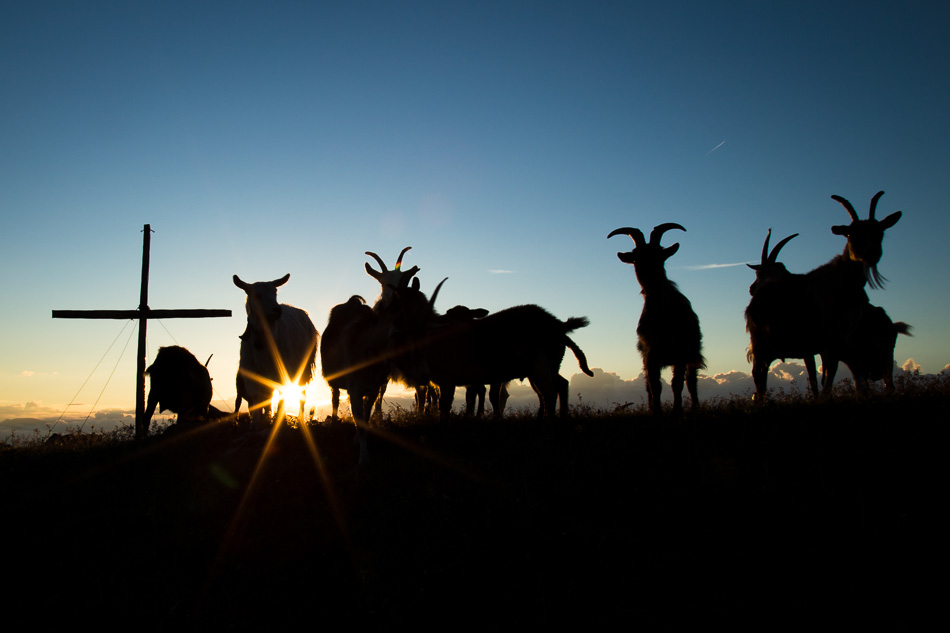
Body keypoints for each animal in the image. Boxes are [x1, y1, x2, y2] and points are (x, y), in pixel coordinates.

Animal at [233, 272, 320, 428]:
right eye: (257, 295)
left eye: (275, 292)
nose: (277, 310)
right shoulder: (253, 372)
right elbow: (258, 398)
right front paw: (257, 422)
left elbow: (281, 395)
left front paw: (279, 421)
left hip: (304, 369)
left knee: (301, 395)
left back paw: (299, 420)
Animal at [382, 278, 596, 418]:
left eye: (399, 298)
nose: (383, 310)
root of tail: (558, 324)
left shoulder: (449, 379)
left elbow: (446, 406)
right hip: (545, 367)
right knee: (560, 385)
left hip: (540, 366)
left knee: (549, 393)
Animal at [608, 222, 708, 414]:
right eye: (636, 256)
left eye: (659, 254)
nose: (648, 271)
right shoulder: (650, 355)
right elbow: (655, 386)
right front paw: (656, 411)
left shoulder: (680, 353)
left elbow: (677, 384)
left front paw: (677, 410)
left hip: (693, 351)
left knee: (691, 381)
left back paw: (695, 407)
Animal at [748, 191, 904, 400]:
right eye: (851, 234)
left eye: (880, 232)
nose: (871, 253)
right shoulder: (825, 343)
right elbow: (821, 376)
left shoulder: (832, 341)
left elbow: (825, 375)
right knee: (760, 378)